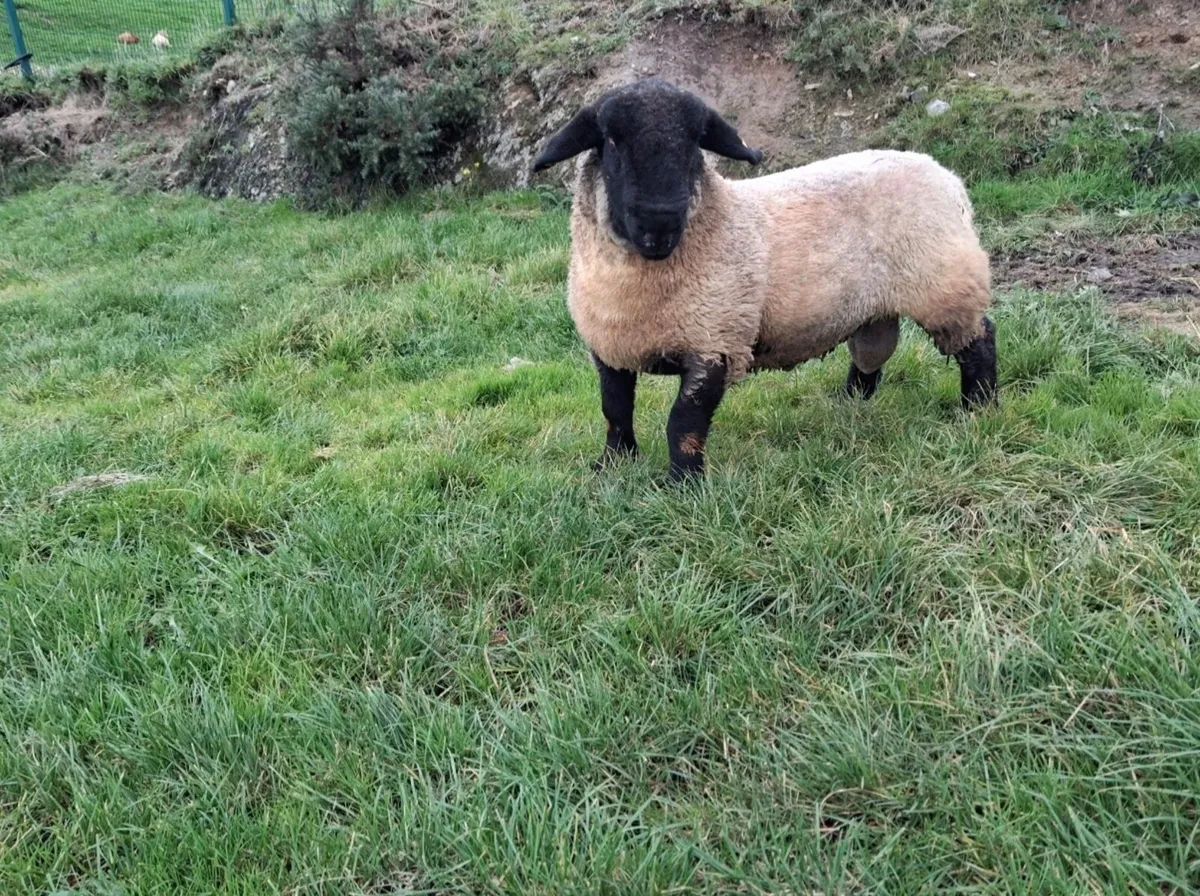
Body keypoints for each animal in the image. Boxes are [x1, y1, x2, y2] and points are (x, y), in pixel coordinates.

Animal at [531, 78, 997, 482]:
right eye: (611, 140)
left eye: (694, 142)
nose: (659, 223)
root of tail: (946, 176)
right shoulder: (610, 346)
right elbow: (614, 408)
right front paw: (612, 465)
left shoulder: (716, 341)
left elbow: (683, 423)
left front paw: (682, 484)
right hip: (875, 308)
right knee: (872, 355)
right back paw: (848, 406)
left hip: (945, 285)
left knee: (980, 340)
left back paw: (979, 407)